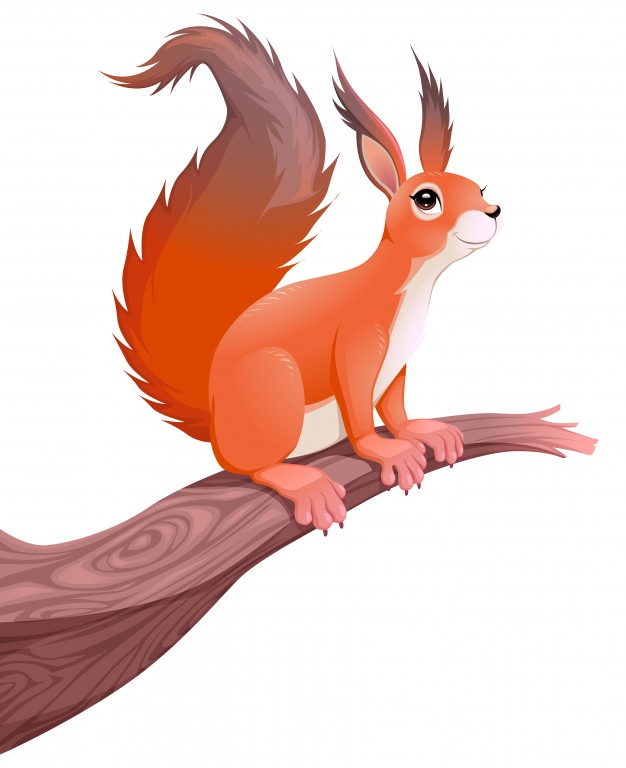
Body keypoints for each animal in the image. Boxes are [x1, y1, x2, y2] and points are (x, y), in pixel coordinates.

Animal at [109, 18, 501, 533]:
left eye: (479, 188)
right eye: (426, 199)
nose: (493, 212)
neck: (413, 286)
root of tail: (214, 417)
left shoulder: (397, 361)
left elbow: (394, 404)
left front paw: (418, 430)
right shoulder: (357, 340)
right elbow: (358, 406)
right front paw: (386, 451)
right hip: (273, 387)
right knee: (253, 466)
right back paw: (303, 483)